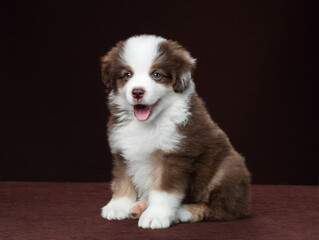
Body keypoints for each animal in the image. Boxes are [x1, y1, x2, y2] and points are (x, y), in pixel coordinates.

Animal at [101, 34, 251, 229]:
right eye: (127, 75)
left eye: (156, 75)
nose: (137, 92)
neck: (149, 124)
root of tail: (246, 203)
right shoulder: (122, 151)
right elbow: (122, 181)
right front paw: (117, 206)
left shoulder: (175, 155)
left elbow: (164, 191)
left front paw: (155, 216)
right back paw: (141, 206)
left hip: (227, 169)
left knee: (218, 208)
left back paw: (180, 212)